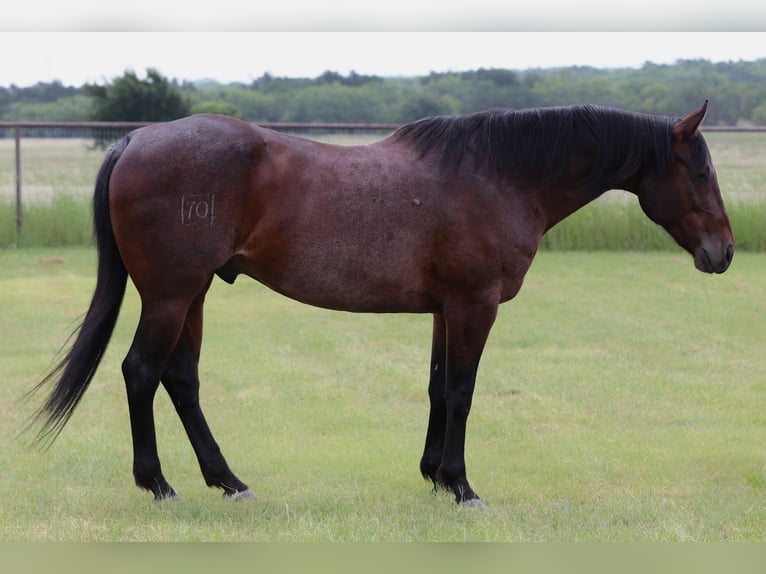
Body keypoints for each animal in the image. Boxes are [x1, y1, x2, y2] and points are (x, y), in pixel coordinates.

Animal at [29, 101, 733, 507]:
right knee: (142, 373)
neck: (499, 175)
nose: (723, 252)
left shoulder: (446, 309)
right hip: (172, 295)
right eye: (700, 172)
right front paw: (462, 486)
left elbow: (437, 386)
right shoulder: (475, 304)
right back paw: (159, 485)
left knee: (180, 379)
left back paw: (228, 481)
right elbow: (462, 390)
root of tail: (135, 140)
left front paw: (433, 474)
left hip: (193, 293)